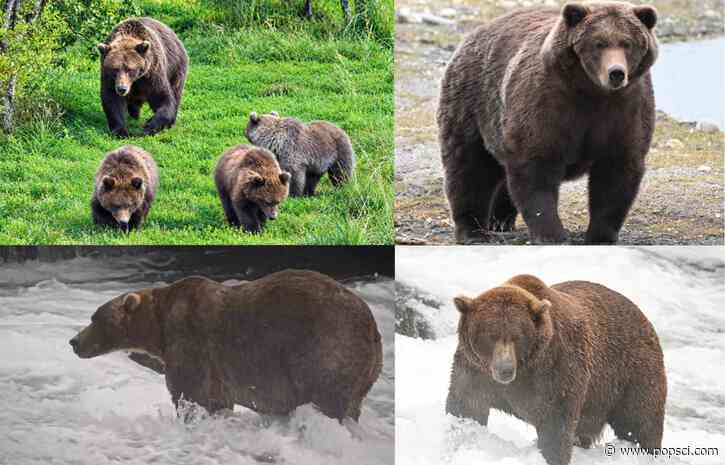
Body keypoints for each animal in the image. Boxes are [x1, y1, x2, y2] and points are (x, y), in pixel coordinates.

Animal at [69, 269, 383, 422]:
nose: (73, 341)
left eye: (94, 318)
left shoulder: (191, 343)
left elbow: (193, 394)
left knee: (326, 400)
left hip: (325, 350)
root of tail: (374, 329)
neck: (158, 328)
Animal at [437, 2, 659, 244]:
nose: (616, 73)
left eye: (627, 43)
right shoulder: (548, 105)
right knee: (468, 167)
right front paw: (552, 235)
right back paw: (473, 231)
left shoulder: (625, 111)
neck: (592, 92)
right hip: (472, 105)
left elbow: (617, 171)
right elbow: (536, 169)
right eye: (598, 43)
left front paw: (600, 236)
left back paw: (501, 221)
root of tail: (474, 33)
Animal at [446, 274, 666, 465]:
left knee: (639, 422)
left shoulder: (556, 370)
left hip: (629, 374)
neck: (525, 369)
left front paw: (550, 456)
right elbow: (466, 406)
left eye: (517, 336)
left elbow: (555, 426)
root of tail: (643, 317)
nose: (505, 369)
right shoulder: (476, 371)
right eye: (490, 335)